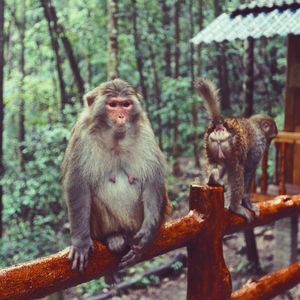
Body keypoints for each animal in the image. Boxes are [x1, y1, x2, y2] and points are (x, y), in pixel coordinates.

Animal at [61, 78, 171, 270]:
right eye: (112, 105)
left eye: (125, 105)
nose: (121, 116)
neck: (116, 137)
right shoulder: (82, 136)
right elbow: (77, 183)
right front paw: (80, 242)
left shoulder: (145, 132)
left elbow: (152, 179)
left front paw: (148, 232)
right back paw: (113, 237)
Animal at [195, 77, 278, 221]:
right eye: (271, 139)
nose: (269, 144)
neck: (257, 126)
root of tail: (220, 126)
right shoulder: (259, 145)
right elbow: (249, 169)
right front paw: (247, 202)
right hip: (233, 145)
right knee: (238, 168)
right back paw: (235, 207)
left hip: (210, 144)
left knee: (215, 163)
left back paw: (213, 179)